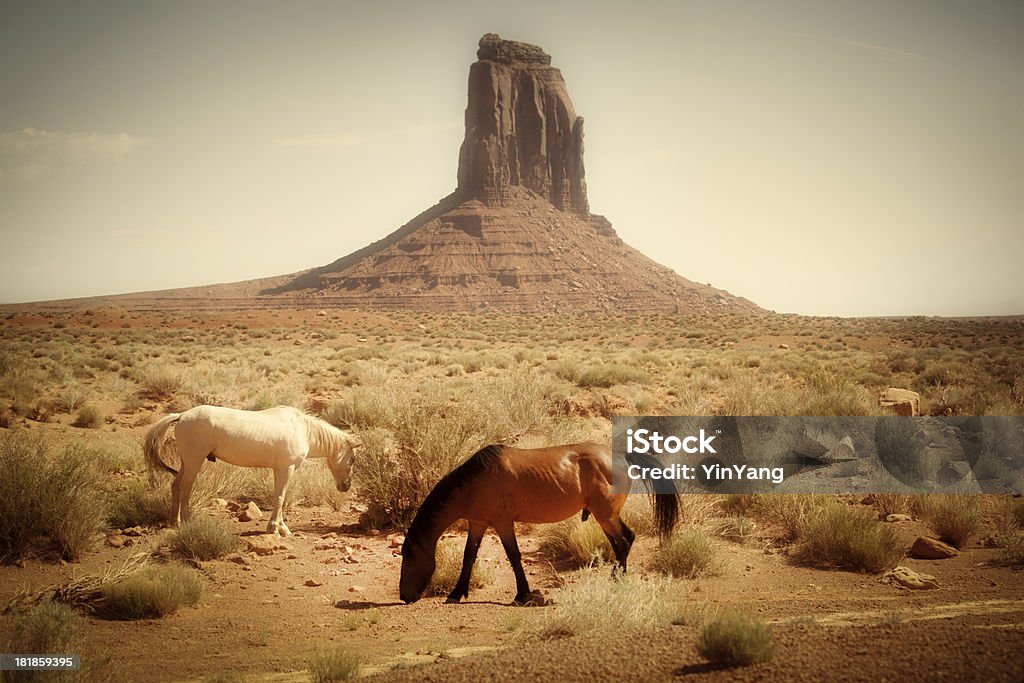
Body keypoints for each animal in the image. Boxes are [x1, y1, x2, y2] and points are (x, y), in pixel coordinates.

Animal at [144, 403, 360, 536]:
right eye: (353, 459)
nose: (346, 486)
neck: (303, 430)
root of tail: (181, 416)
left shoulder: (279, 469)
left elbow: (279, 497)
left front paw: (281, 528)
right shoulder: (286, 469)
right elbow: (280, 498)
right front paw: (275, 528)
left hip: (186, 462)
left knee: (175, 486)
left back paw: (174, 522)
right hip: (194, 462)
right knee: (186, 489)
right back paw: (188, 522)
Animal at [399, 446, 679, 606]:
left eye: (408, 556)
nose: (404, 596)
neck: (476, 482)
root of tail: (621, 456)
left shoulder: (503, 524)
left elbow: (513, 556)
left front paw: (522, 595)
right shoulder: (477, 524)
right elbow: (469, 556)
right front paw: (456, 594)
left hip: (605, 515)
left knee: (621, 542)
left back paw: (615, 581)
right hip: (607, 516)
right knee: (626, 540)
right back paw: (617, 578)